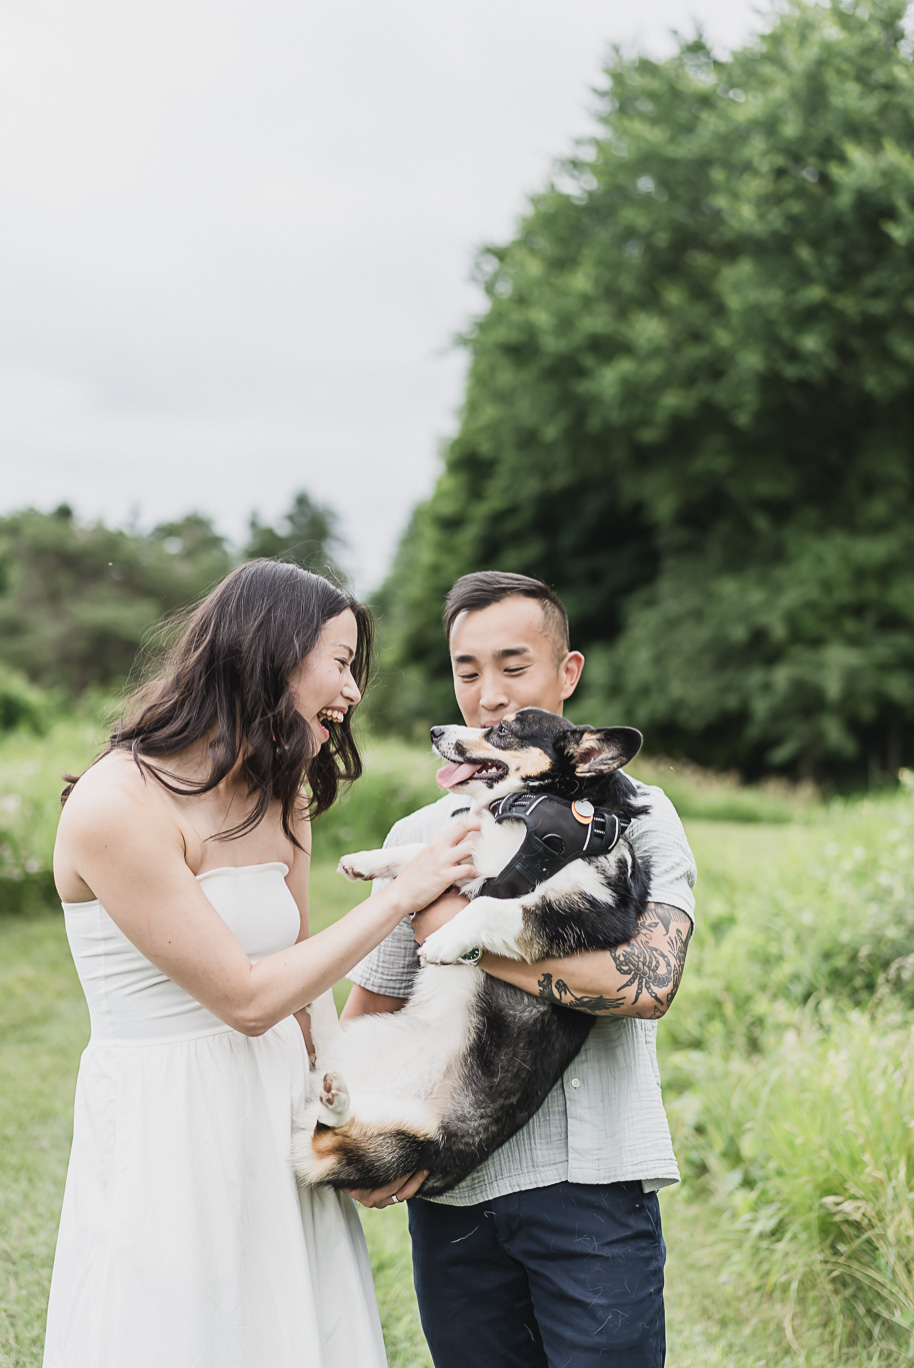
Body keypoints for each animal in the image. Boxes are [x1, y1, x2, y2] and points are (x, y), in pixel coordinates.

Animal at [292, 711, 648, 1192]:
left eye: (503, 730)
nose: (434, 732)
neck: (551, 804)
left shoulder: (588, 910)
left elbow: (488, 906)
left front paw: (444, 941)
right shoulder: (470, 857)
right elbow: (421, 853)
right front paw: (365, 861)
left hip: (409, 1143)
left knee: (329, 1138)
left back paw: (335, 1098)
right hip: (367, 1050)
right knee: (325, 1078)